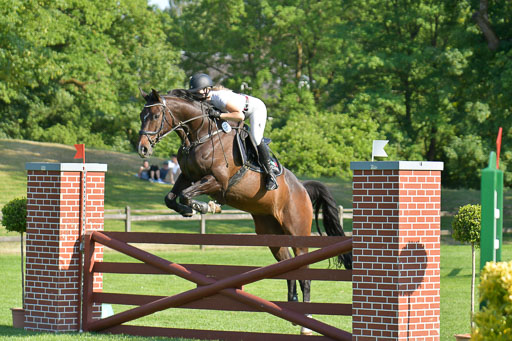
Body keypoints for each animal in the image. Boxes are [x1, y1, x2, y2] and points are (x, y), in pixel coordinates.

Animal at [136, 88, 352, 334]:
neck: (200, 135)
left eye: (155, 116)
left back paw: (306, 323)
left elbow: (186, 195)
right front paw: (188, 211)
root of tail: (302, 189)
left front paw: (207, 206)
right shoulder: (187, 176)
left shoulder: (216, 180)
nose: (142, 149)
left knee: (304, 274)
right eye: (141, 116)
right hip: (272, 235)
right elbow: (172, 198)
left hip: (298, 233)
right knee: (288, 267)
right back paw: (294, 311)